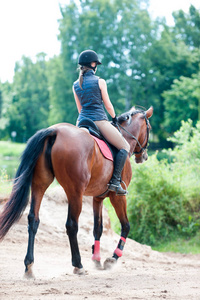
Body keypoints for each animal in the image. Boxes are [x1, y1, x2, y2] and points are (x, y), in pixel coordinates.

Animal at [0, 106, 153, 276]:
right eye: (149, 128)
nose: (144, 157)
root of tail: (54, 131)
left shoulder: (97, 198)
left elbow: (98, 229)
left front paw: (97, 259)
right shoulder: (117, 197)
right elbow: (126, 226)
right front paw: (112, 258)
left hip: (40, 184)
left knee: (33, 219)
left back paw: (29, 266)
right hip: (75, 192)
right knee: (71, 225)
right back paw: (78, 265)